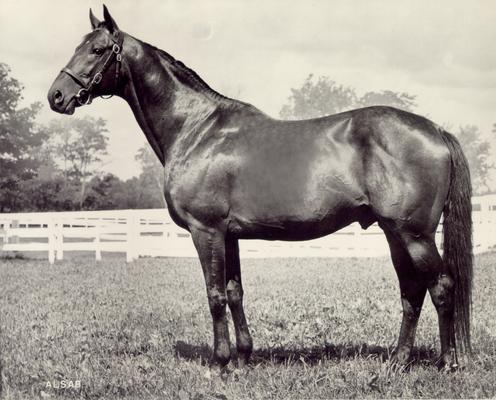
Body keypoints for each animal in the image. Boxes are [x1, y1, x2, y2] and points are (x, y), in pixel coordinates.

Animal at [47, 4, 472, 370]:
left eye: (98, 49)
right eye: (77, 47)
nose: (56, 96)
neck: (197, 129)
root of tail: (436, 129)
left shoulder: (206, 231)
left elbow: (215, 295)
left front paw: (220, 363)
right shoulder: (228, 235)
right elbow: (235, 291)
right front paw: (243, 357)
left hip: (414, 234)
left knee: (441, 287)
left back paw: (448, 363)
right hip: (394, 232)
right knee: (412, 291)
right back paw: (398, 361)